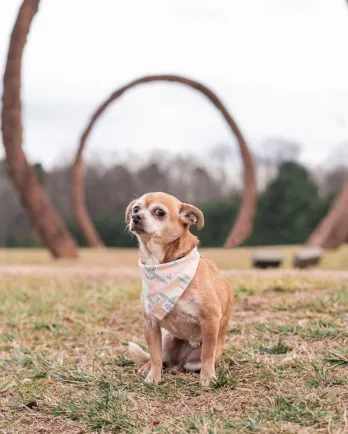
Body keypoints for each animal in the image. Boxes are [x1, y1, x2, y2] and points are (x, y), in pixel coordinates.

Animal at [125, 193, 234, 386]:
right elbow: (154, 354)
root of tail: (180, 361)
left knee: (194, 361)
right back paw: (148, 367)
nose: (135, 217)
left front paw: (207, 377)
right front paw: (153, 377)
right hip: (167, 339)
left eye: (159, 212)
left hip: (196, 359)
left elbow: (207, 354)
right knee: (161, 358)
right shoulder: (151, 324)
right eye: (136, 208)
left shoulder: (210, 319)